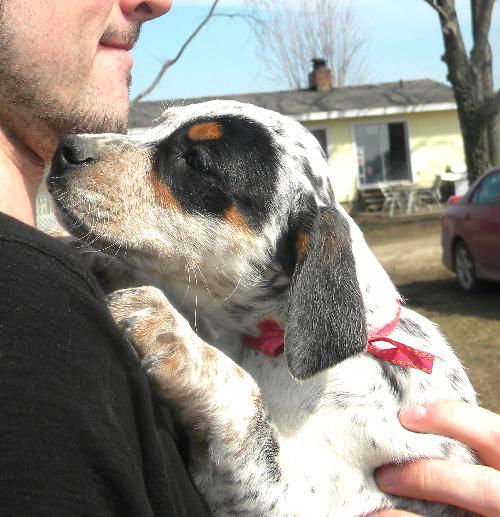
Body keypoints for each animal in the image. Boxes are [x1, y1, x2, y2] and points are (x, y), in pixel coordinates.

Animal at [48, 102, 478, 516]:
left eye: (197, 161)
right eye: (156, 125)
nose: (65, 149)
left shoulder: (310, 496)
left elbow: (242, 393)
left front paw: (168, 331)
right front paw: (92, 256)